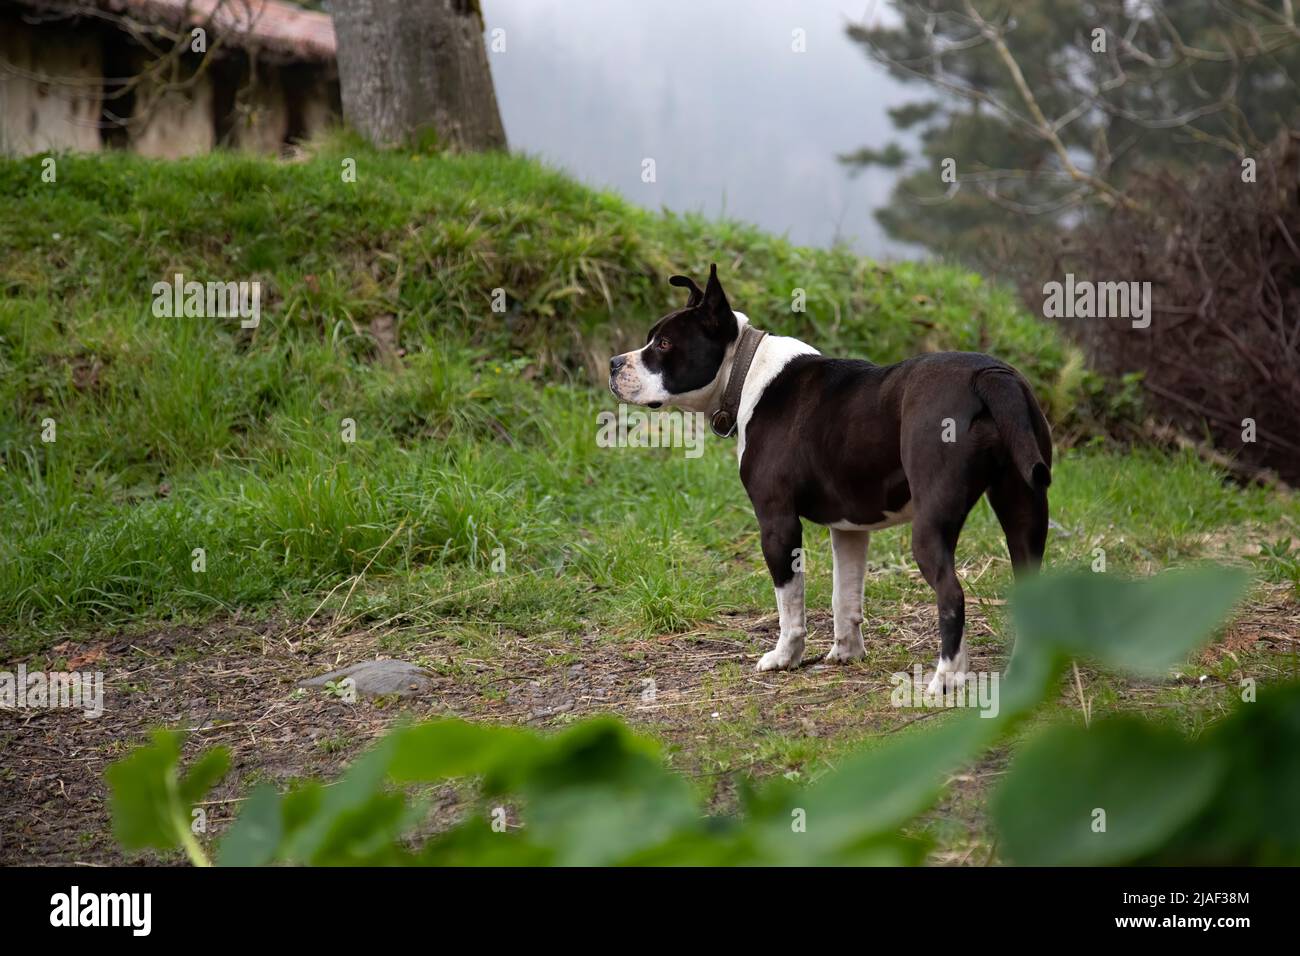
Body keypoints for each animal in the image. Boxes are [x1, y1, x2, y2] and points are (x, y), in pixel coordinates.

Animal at [611, 265, 1055, 691]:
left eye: (664, 344)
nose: (615, 363)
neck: (746, 371)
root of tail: (990, 375)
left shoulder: (777, 523)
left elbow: (790, 603)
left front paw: (785, 657)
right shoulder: (849, 529)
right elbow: (845, 595)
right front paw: (846, 653)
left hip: (932, 525)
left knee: (951, 594)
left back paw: (946, 677)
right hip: (1025, 510)